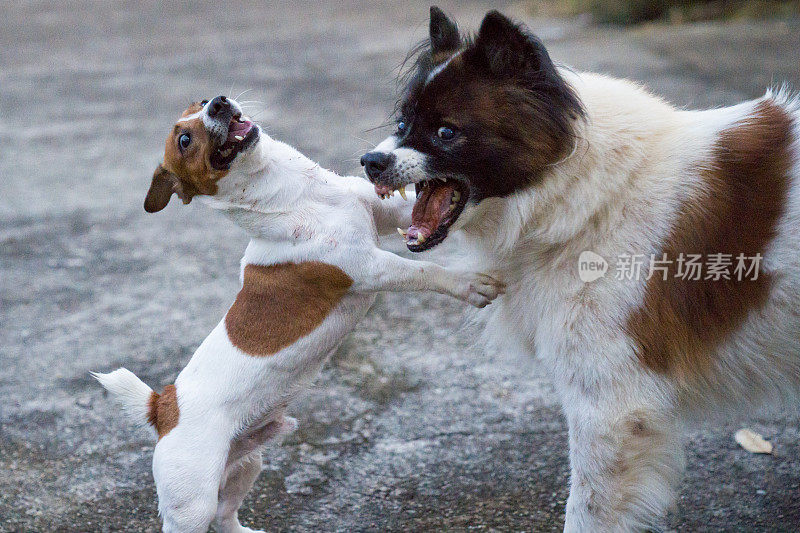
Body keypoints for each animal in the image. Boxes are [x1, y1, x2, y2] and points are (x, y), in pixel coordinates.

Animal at [94, 95, 504, 532]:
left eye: (201, 103)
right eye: (185, 140)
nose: (219, 102)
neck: (300, 196)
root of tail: (162, 406)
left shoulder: (390, 216)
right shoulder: (369, 267)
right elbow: (425, 271)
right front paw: (471, 284)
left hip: (247, 462)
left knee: (225, 514)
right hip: (191, 503)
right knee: (202, 516)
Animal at [362, 6, 800, 528]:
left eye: (447, 132)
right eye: (402, 121)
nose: (370, 161)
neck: (583, 192)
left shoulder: (610, 404)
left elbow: (587, 507)